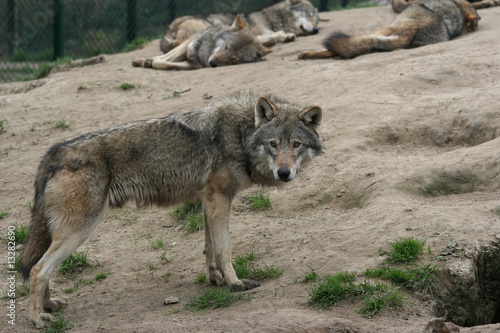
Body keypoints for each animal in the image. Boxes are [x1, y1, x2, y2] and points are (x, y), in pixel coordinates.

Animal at [19, 91, 324, 326]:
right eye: (273, 144)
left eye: (296, 144)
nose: (283, 173)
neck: (240, 135)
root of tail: (53, 153)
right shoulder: (219, 199)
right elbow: (225, 248)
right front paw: (235, 284)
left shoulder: (208, 200)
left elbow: (210, 248)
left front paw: (214, 279)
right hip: (79, 231)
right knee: (38, 270)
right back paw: (38, 320)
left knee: (39, 267)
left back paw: (49, 307)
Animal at [132, 14, 274, 70]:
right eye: (226, 46)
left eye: (234, 59)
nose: (213, 63)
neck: (205, 53)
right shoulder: (188, 48)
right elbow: (162, 61)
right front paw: (150, 62)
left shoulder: (195, 65)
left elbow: (164, 63)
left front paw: (152, 63)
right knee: (164, 54)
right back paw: (143, 60)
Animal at [158, 0, 318, 52]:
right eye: (309, 15)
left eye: (317, 21)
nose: (316, 29)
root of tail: (168, 32)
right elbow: (266, 36)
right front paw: (283, 35)